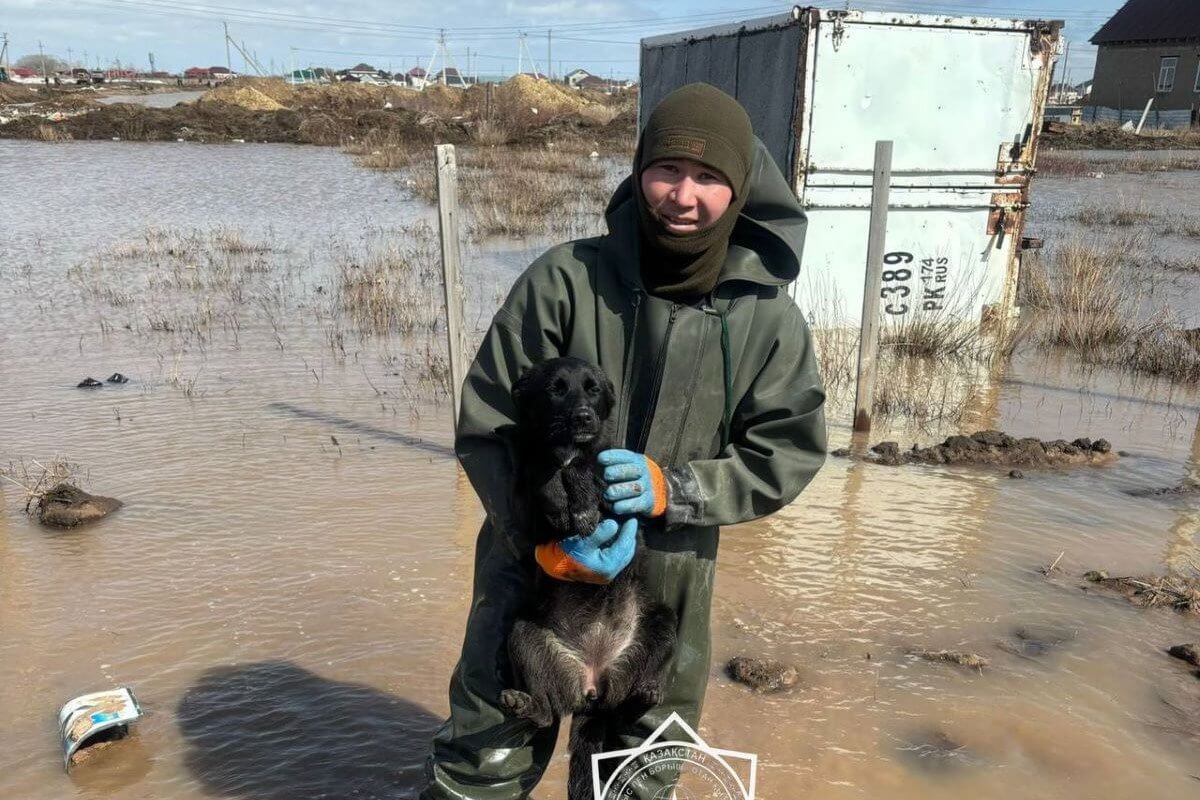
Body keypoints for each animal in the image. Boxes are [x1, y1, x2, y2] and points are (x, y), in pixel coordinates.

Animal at [501, 357, 681, 800]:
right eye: (555, 389)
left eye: (592, 389)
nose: (583, 416)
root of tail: (592, 689)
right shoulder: (528, 503)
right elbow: (543, 470)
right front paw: (562, 498)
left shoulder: (613, 480)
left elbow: (588, 466)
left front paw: (581, 501)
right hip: (523, 635)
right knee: (547, 715)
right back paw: (523, 703)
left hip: (662, 622)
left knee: (624, 711)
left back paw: (645, 694)